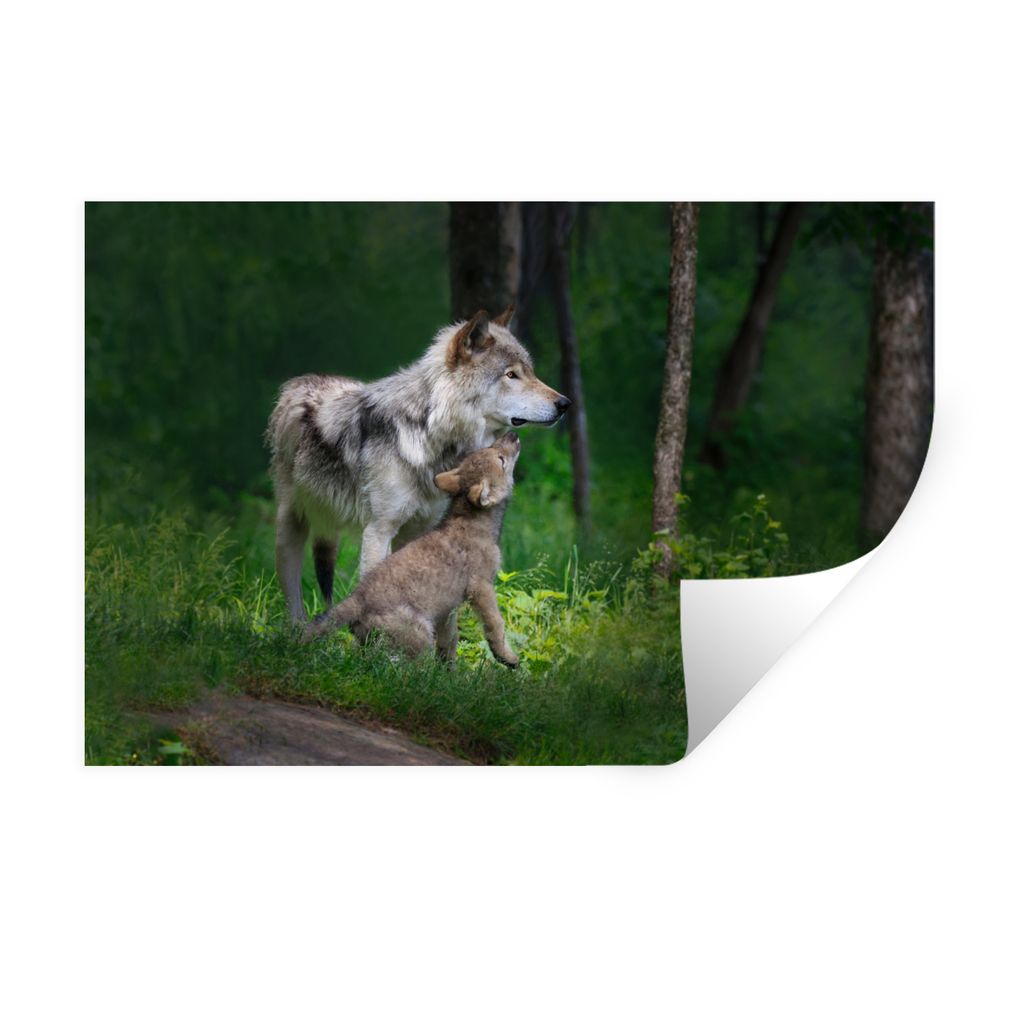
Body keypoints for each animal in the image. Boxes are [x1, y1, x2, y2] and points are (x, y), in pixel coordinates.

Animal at [267, 307, 569, 620]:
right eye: (511, 375)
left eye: (530, 372)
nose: (565, 403)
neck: (428, 434)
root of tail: (302, 381)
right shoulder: (378, 531)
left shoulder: (420, 530)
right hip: (290, 528)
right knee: (293, 594)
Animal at [304, 432, 522, 665]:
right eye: (501, 460)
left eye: (490, 448)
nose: (513, 435)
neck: (473, 521)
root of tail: (357, 598)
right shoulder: (481, 587)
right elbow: (496, 625)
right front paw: (507, 658)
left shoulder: (447, 608)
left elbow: (450, 640)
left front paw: (449, 670)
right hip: (420, 635)